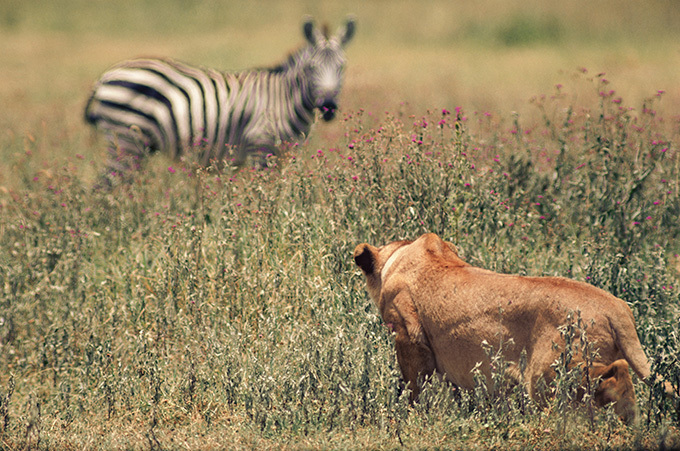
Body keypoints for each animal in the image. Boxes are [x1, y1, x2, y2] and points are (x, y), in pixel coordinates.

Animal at [85, 16, 356, 185]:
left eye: (342, 67)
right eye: (311, 68)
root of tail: (104, 77)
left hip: (138, 145)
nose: (329, 107)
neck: (284, 98)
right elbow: (267, 194)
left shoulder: (283, 154)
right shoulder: (260, 146)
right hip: (125, 141)